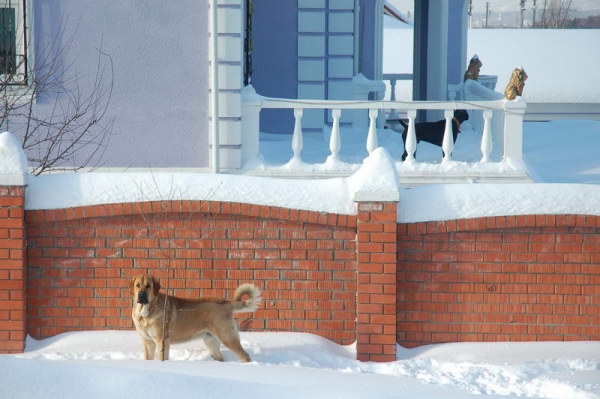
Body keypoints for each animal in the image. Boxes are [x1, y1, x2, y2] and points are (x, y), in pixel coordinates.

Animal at [129, 276, 260, 362]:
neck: (145, 313)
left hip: (227, 337)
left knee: (245, 356)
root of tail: (227, 303)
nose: (141, 294)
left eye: (148, 286)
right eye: (137, 285)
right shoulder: (148, 342)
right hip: (210, 341)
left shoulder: (162, 342)